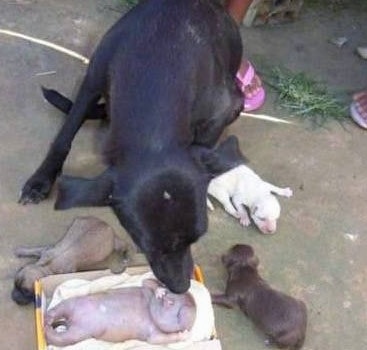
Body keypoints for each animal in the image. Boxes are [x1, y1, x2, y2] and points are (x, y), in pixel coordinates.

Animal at [18, 0, 246, 292]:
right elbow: (63, 137)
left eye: (197, 237)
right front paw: (41, 180)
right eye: (148, 246)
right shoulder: (91, 82)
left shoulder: (221, 111)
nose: (182, 287)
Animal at [45, 278, 197, 346]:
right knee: (59, 309)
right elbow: (147, 281)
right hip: (73, 305)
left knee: (62, 336)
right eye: (168, 296)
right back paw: (47, 320)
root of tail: (71, 321)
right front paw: (159, 291)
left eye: (178, 313)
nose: (164, 300)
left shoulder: (155, 334)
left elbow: (158, 339)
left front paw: (183, 334)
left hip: (79, 333)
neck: (150, 310)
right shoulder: (147, 289)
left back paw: (48, 325)